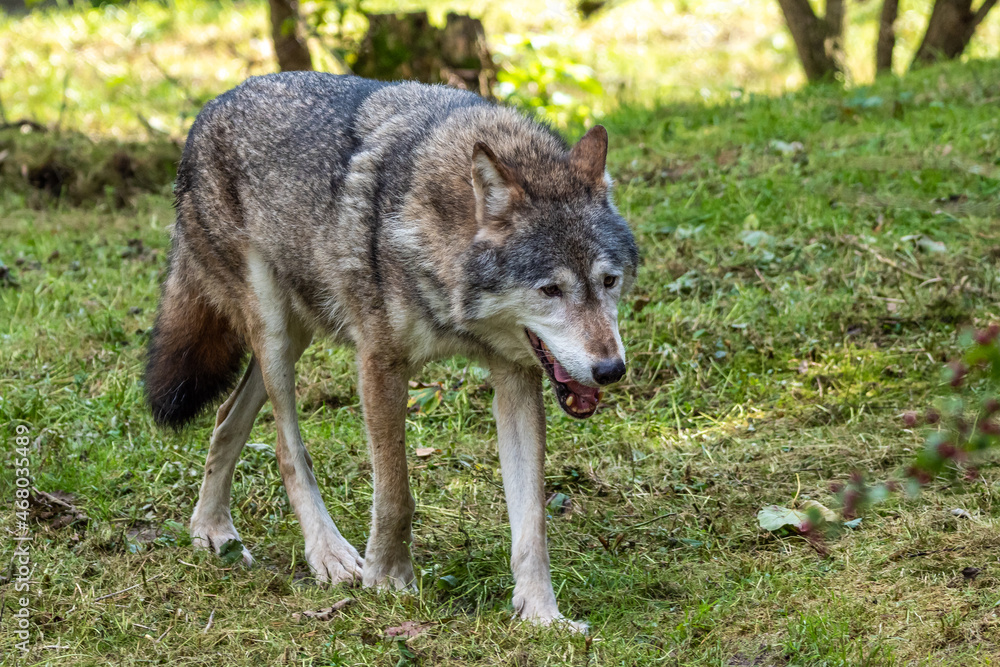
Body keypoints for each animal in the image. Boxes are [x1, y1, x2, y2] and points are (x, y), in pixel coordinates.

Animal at [145, 72, 638, 630]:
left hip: (296, 333)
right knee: (287, 449)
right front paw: (388, 578)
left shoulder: (516, 376)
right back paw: (328, 554)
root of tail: (212, 106)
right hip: (273, 330)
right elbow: (396, 494)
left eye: (608, 281)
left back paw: (212, 531)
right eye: (550, 290)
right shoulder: (380, 363)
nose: (610, 369)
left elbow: (532, 520)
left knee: (227, 415)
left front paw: (541, 614)